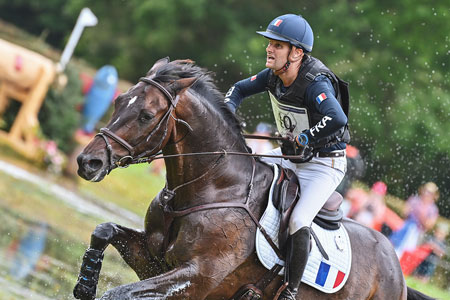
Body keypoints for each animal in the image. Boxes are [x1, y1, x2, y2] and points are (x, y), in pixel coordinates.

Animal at [74, 57, 436, 298]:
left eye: (146, 115)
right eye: (119, 100)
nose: (88, 161)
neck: (213, 188)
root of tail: (397, 270)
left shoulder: (196, 278)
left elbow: (117, 293)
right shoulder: (151, 259)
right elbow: (104, 230)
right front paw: (86, 282)